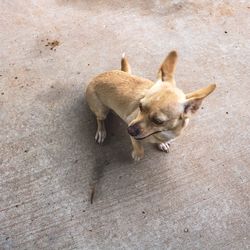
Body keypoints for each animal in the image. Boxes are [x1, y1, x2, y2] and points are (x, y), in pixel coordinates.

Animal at [85, 50, 215, 160]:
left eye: (158, 121)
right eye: (140, 106)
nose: (129, 130)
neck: (162, 132)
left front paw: (161, 143)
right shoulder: (131, 125)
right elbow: (139, 148)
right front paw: (137, 154)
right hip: (101, 110)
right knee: (100, 119)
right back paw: (101, 131)